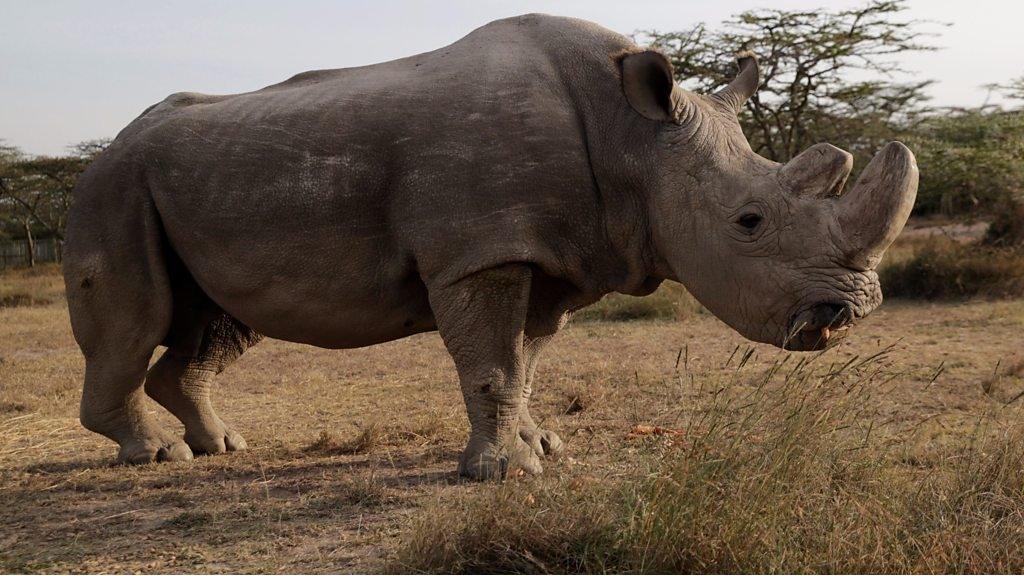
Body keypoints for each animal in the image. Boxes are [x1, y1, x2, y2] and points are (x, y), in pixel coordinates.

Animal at [59, 14, 917, 479]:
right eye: (749, 222)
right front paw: (504, 474)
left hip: (190, 187)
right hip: (113, 189)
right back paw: (158, 456)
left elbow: (525, 364)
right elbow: (494, 366)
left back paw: (221, 447)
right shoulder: (481, 252)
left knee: (217, 322)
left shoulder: (554, 254)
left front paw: (544, 446)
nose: (849, 313)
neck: (634, 138)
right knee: (136, 320)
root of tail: (103, 150)